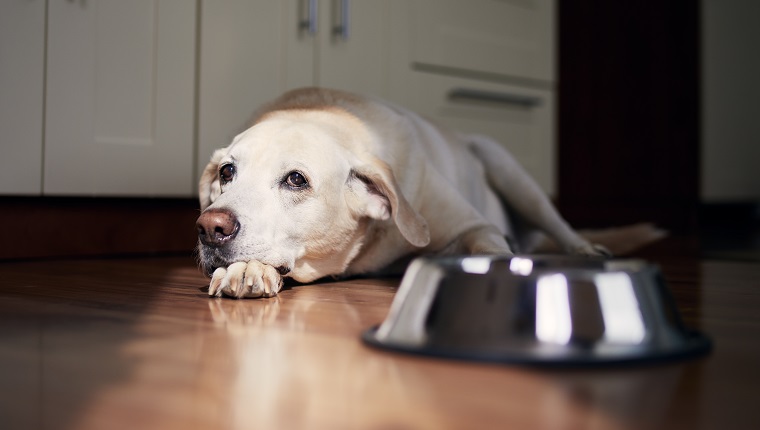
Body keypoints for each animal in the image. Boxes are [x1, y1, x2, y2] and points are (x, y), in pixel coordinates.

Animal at [194, 88, 660, 298]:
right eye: (227, 172)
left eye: (296, 180)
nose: (211, 227)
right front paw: (245, 271)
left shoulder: (474, 225)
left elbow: (490, 246)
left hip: (508, 169)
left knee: (560, 224)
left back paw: (584, 249)